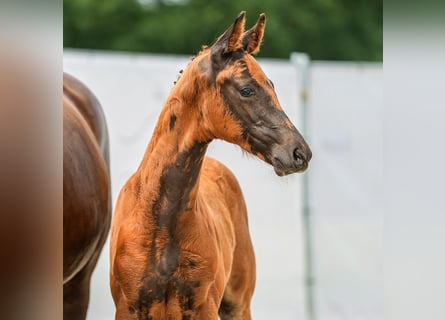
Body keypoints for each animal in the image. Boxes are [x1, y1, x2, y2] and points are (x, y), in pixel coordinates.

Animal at [110, 12, 312, 320]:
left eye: (272, 85)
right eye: (246, 89)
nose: (299, 152)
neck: (160, 222)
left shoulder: (205, 307)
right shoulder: (127, 308)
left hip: (238, 303)